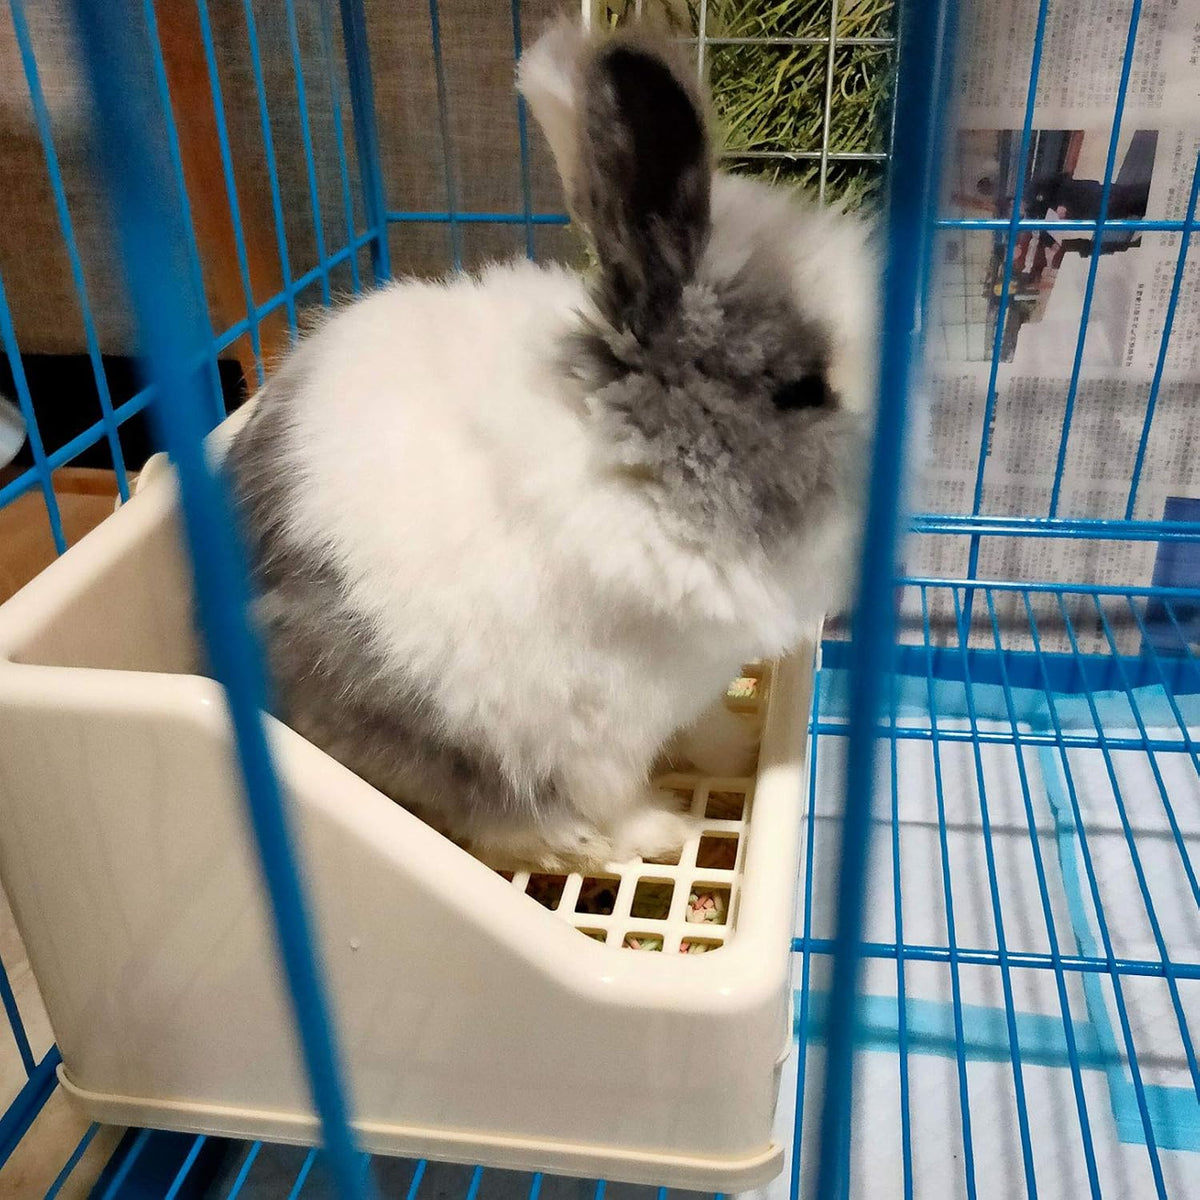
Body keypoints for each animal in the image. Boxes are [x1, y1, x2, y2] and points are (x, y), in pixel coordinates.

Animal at [224, 18, 878, 872]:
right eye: (799, 388)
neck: (637, 467)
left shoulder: (692, 687)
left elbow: (705, 728)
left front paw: (737, 752)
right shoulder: (595, 727)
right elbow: (615, 792)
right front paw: (664, 830)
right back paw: (573, 844)